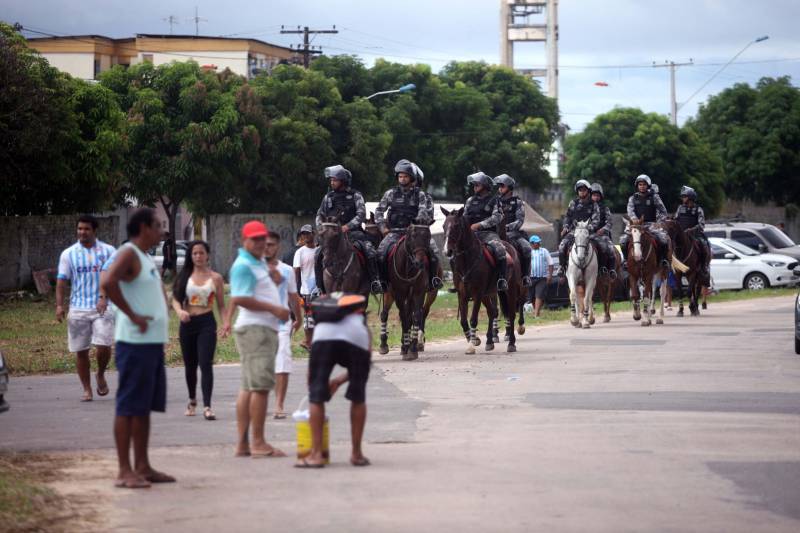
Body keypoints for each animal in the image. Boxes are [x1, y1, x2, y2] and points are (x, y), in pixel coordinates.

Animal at [440, 208, 520, 354]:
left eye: (456, 226)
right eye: (443, 226)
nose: (447, 251)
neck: (468, 261)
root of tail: (509, 247)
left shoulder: (477, 294)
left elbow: (473, 319)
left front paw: (471, 345)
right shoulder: (462, 295)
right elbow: (463, 321)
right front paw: (474, 340)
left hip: (509, 290)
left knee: (511, 314)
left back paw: (511, 343)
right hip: (487, 294)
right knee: (492, 312)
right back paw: (489, 342)